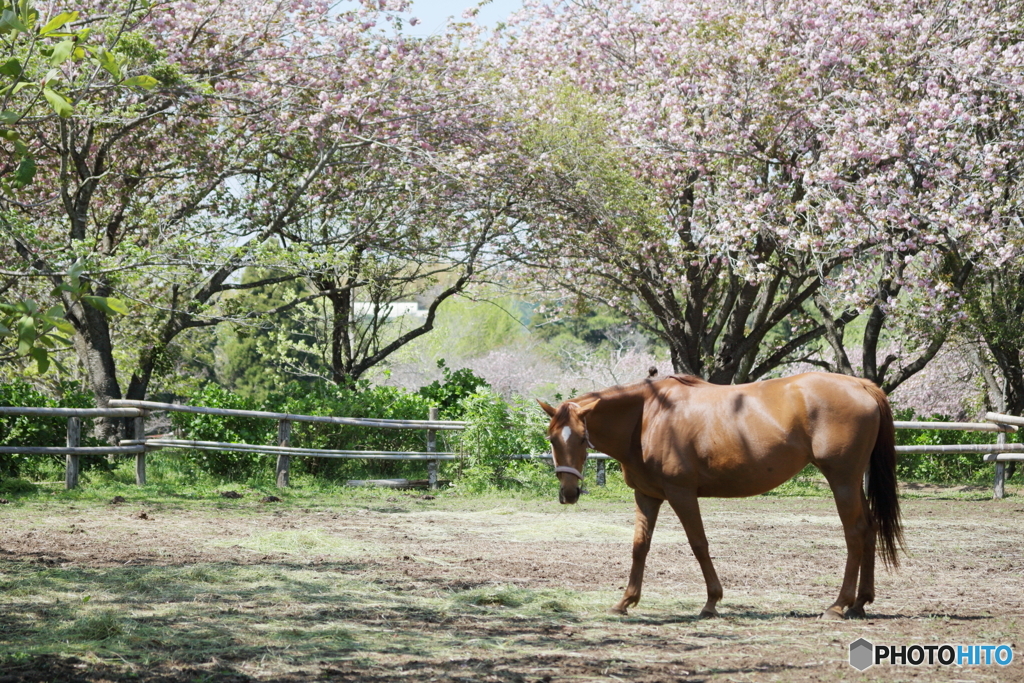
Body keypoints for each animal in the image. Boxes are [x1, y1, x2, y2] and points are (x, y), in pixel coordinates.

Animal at [540, 370, 901, 622]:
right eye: (552, 438)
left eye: (583, 438)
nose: (569, 493)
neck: (648, 416)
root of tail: (862, 385)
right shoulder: (647, 495)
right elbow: (639, 547)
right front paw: (624, 602)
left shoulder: (681, 493)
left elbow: (698, 544)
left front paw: (711, 602)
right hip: (851, 482)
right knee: (869, 529)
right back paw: (859, 603)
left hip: (842, 479)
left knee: (855, 533)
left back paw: (838, 605)